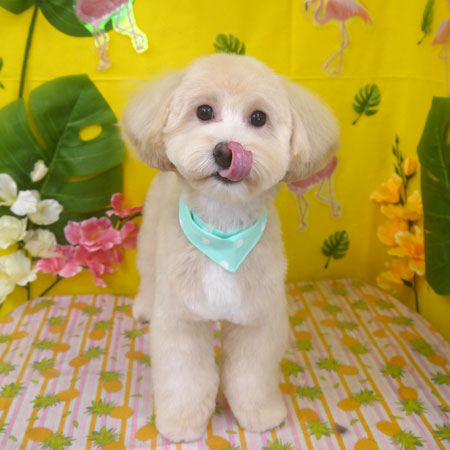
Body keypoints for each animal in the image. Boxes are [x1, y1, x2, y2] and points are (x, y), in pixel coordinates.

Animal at [121, 53, 339, 442]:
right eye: (204, 111)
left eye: (258, 118)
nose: (226, 150)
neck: (222, 234)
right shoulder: (182, 320)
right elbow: (186, 377)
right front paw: (181, 423)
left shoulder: (258, 319)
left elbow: (250, 375)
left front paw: (261, 414)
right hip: (149, 240)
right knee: (147, 274)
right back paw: (144, 306)